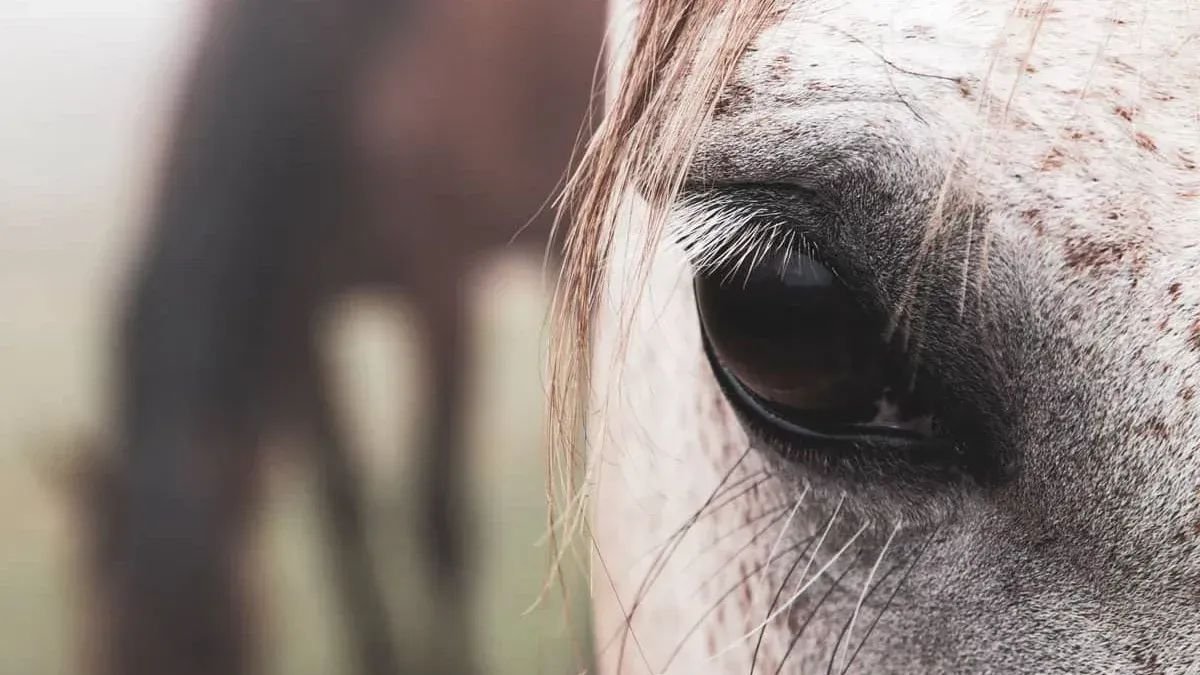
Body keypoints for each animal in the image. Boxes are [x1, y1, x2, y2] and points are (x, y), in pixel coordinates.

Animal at [84, 0, 603, 674]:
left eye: (218, 636)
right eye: (107, 644)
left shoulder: (438, 287)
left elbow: (437, 513)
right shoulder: (300, 314)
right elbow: (343, 514)